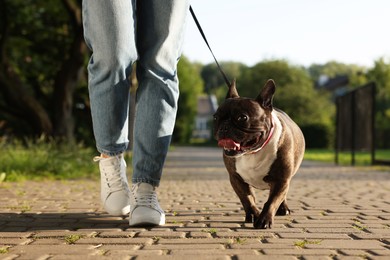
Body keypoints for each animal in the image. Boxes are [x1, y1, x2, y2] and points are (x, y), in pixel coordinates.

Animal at [213, 79, 304, 230]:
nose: (224, 126)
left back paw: (283, 208)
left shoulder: (281, 180)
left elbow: (272, 201)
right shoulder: (236, 178)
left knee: (282, 196)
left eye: (242, 118)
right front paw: (253, 214)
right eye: (215, 117)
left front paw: (264, 219)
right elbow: (247, 198)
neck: (252, 152)